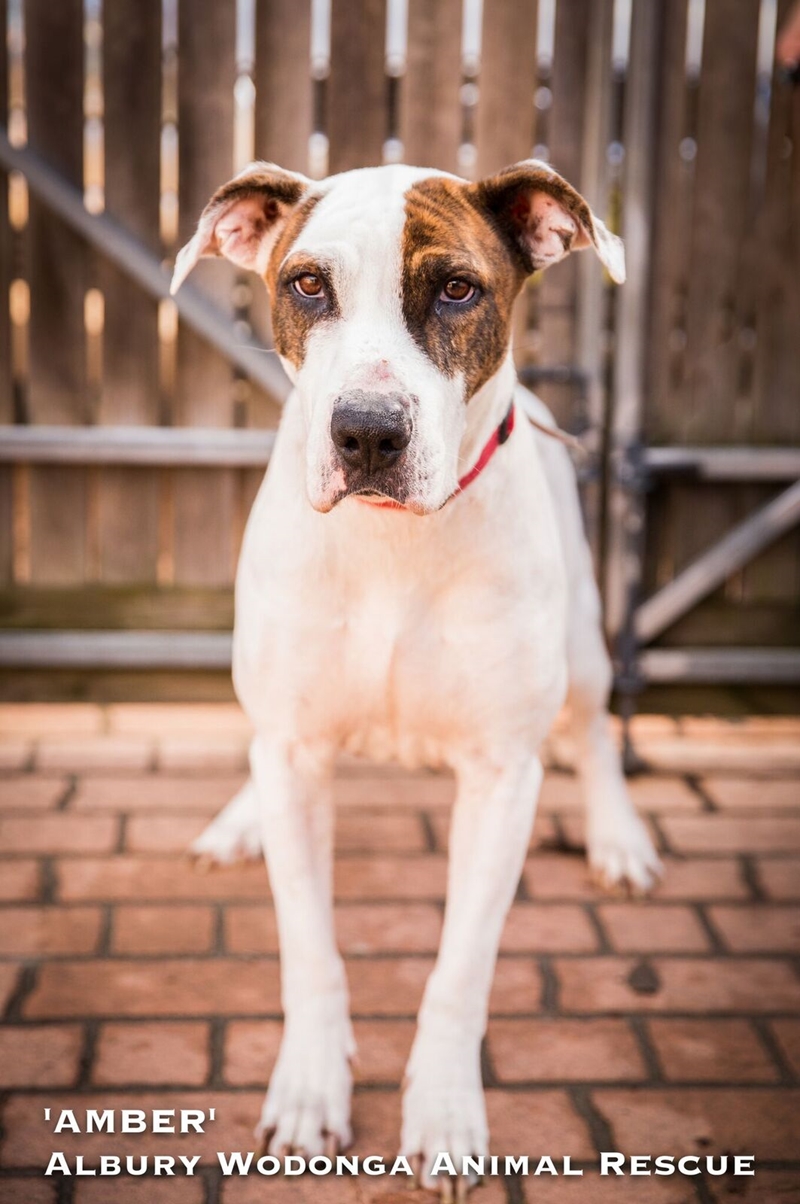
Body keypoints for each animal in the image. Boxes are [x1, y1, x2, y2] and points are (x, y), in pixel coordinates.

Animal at [171, 158, 662, 1190]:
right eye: (306, 285)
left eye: (459, 290)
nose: (365, 434)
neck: (392, 543)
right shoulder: (297, 748)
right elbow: (309, 951)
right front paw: (310, 1090)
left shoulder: (502, 779)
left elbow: (459, 974)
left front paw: (440, 1111)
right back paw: (239, 820)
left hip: (586, 646)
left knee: (596, 730)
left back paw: (618, 837)